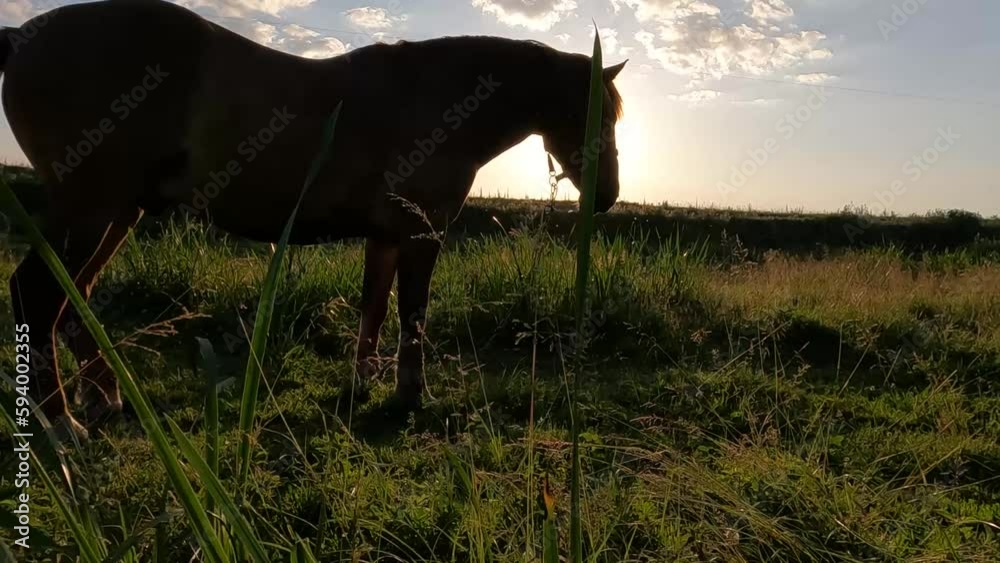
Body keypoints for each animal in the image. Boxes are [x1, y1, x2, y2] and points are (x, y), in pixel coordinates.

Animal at [1, 0, 624, 438]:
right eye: (589, 112)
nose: (608, 195)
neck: (433, 97)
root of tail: (23, 38)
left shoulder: (386, 236)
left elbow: (376, 308)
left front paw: (362, 382)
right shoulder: (420, 235)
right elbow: (413, 314)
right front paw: (410, 393)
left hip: (117, 214)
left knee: (74, 295)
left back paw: (105, 398)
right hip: (91, 210)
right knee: (37, 293)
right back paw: (63, 423)